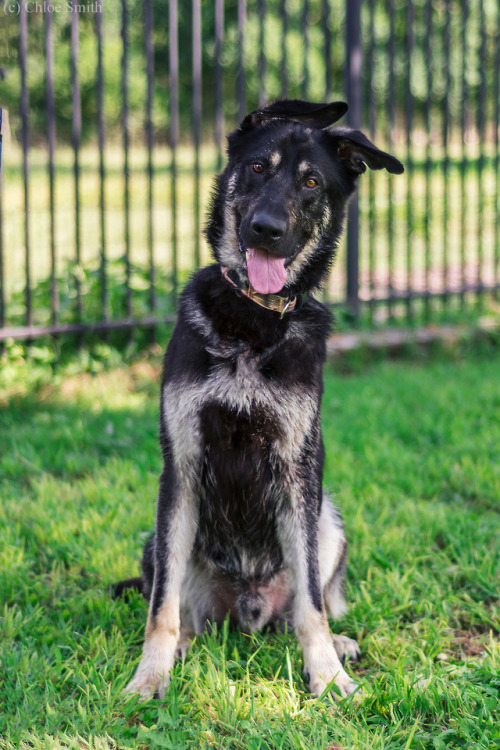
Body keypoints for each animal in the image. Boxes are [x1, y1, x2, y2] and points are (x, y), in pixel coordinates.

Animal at [118, 98, 406, 700]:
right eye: (256, 167)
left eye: (312, 181)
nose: (266, 230)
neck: (252, 318)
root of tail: (248, 611)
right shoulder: (180, 469)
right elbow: (161, 607)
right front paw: (150, 674)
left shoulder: (300, 474)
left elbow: (312, 604)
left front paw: (327, 674)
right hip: (158, 539)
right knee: (179, 603)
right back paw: (184, 645)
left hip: (328, 521)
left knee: (302, 605)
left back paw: (336, 643)